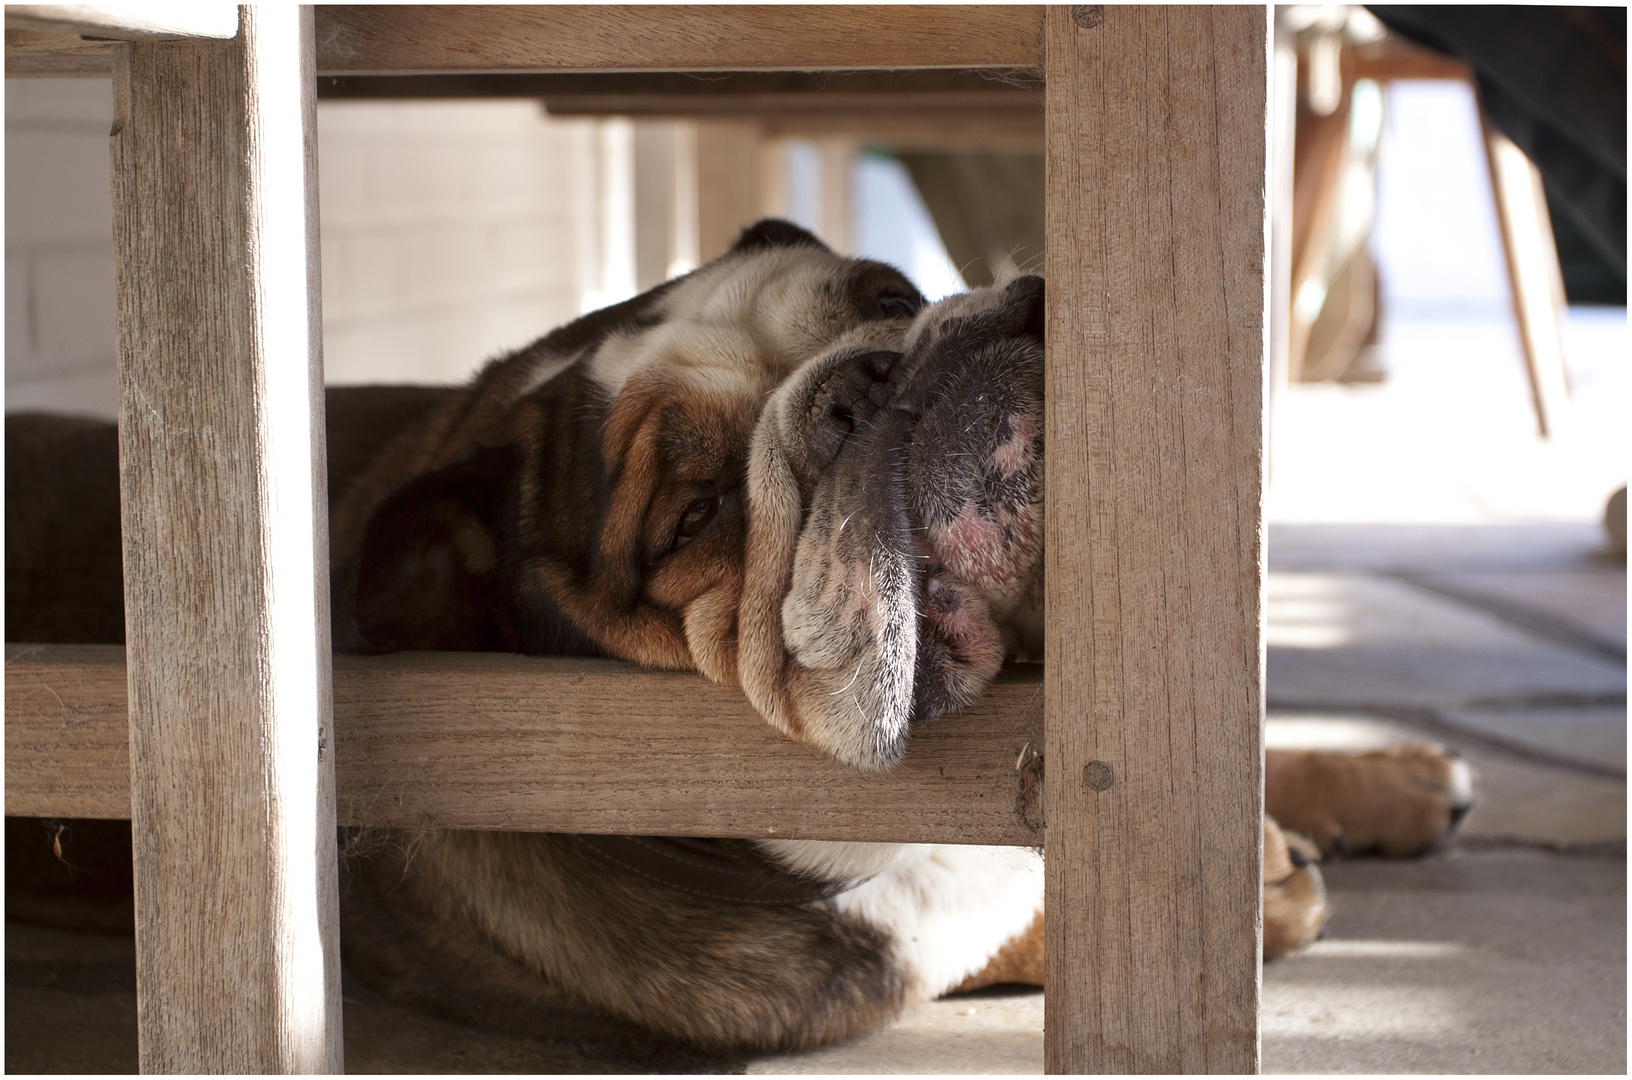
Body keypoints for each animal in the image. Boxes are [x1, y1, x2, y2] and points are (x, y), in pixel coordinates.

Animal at [3, 218, 1481, 1057]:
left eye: (888, 287)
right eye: (696, 514)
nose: (880, 377)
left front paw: (1379, 782)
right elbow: (1015, 916)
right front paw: (1272, 877)